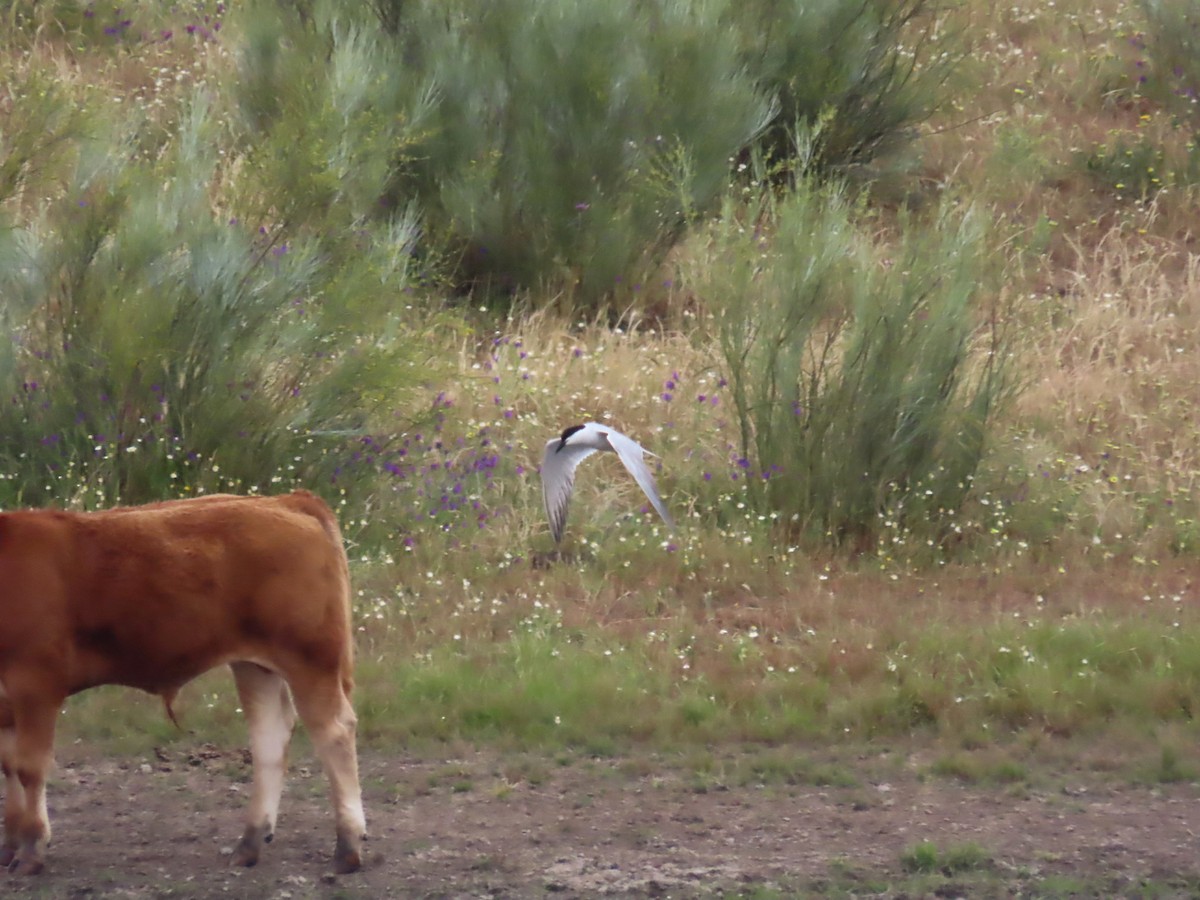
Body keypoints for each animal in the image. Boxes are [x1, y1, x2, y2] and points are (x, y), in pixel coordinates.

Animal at [0, 489, 364, 878]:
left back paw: (347, 848)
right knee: (270, 737)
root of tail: (284, 500)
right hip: (255, 665)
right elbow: (7, 767)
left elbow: (29, 768)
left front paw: (31, 850)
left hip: (309, 658)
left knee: (335, 732)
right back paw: (249, 844)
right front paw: (9, 848)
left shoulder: (35, 683)